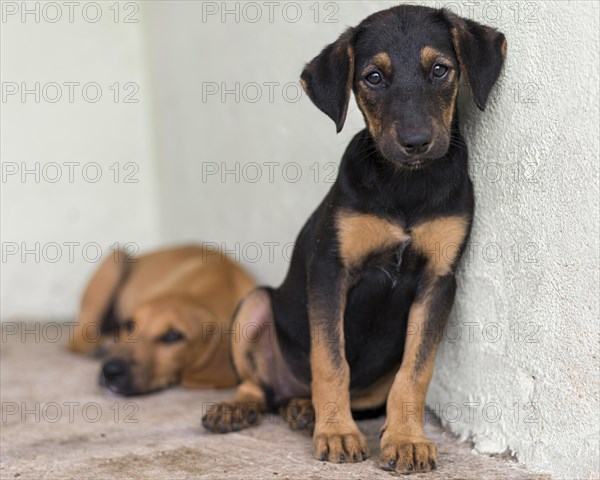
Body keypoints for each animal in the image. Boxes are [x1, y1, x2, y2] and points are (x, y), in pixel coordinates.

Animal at [203, 4, 506, 476]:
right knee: (257, 384)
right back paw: (240, 408)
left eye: (440, 70)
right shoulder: (331, 270)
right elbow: (331, 362)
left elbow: (414, 373)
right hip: (255, 304)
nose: (416, 142)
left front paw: (406, 440)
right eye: (373, 77)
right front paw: (337, 434)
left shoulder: (438, 280)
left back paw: (302, 408)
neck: (405, 186)